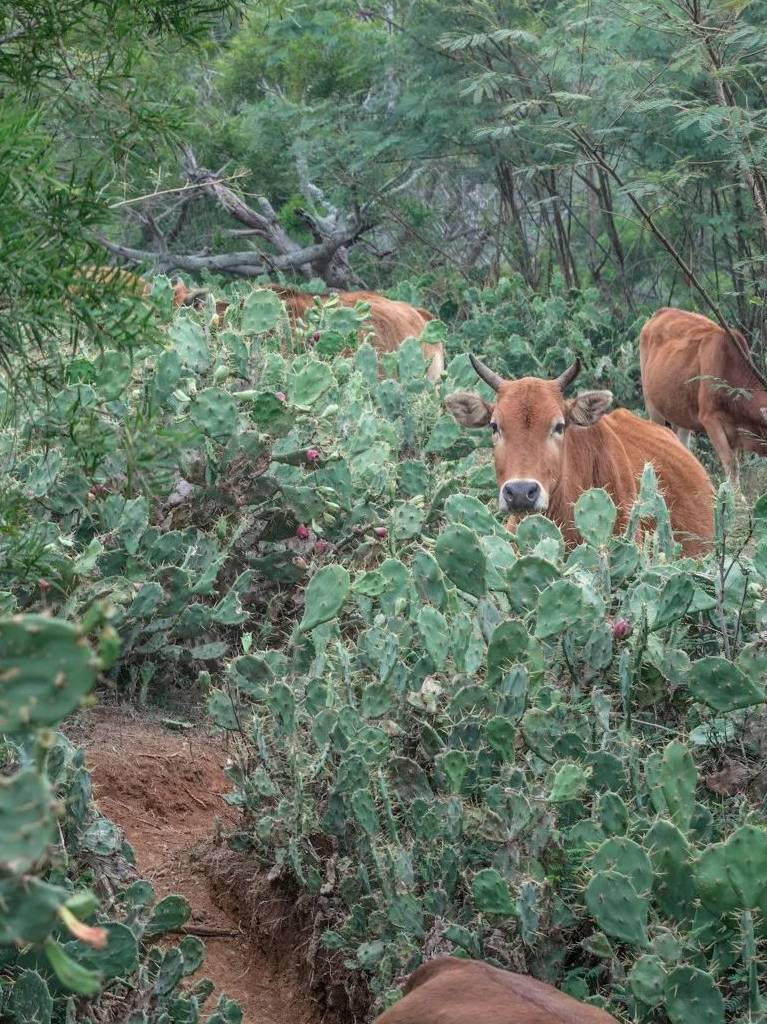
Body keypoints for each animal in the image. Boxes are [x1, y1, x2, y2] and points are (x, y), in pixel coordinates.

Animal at [634, 303, 765, 483]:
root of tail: (661, 311)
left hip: (680, 414)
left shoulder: (735, 432)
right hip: (652, 406)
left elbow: (735, 467)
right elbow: (730, 465)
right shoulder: (710, 420)